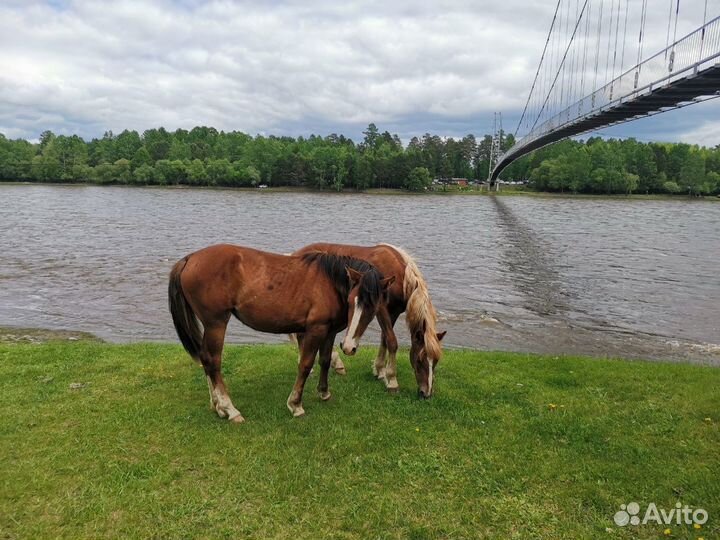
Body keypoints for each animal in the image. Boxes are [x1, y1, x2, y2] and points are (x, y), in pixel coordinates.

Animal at [169, 245, 394, 422]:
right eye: (351, 300)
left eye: (372, 307)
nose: (349, 347)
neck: (329, 282)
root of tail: (190, 258)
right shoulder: (315, 330)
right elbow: (305, 365)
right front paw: (296, 405)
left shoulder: (328, 331)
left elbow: (325, 360)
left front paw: (324, 392)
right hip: (216, 323)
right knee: (212, 361)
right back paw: (230, 409)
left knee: (206, 360)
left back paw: (217, 406)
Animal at [292, 243, 444, 398]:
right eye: (419, 360)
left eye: (436, 361)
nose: (426, 393)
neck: (401, 278)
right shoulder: (381, 309)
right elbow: (392, 342)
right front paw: (392, 380)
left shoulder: (393, 312)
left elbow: (384, 340)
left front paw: (380, 370)